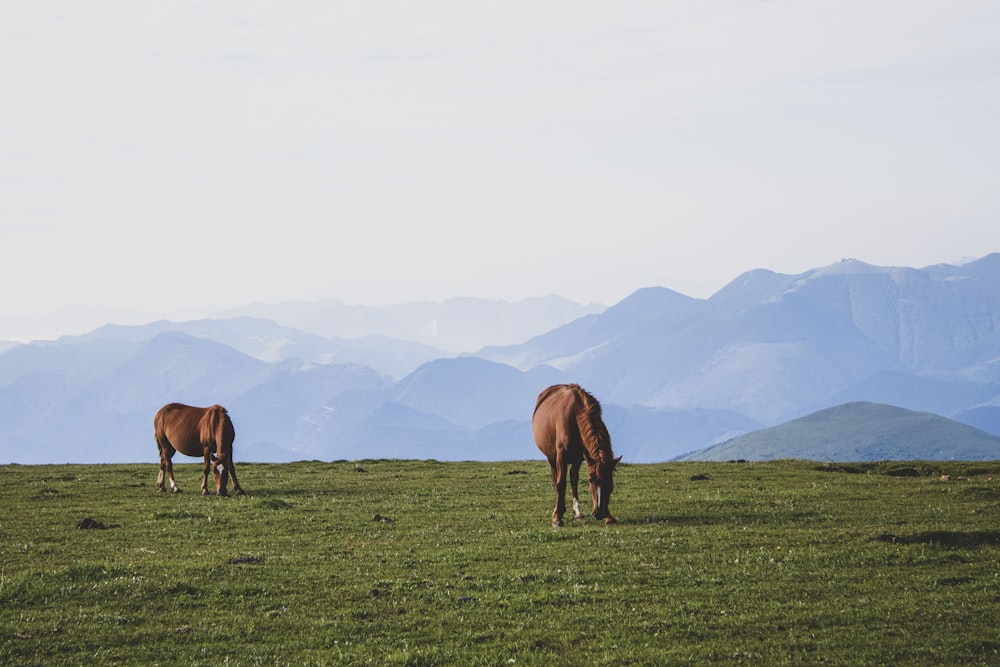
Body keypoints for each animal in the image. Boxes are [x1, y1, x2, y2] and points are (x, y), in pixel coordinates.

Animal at [532, 386, 616, 528]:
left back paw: (577, 512)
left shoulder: (579, 457)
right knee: (556, 480)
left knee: (572, 479)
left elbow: (574, 479)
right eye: (590, 480)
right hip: (551, 457)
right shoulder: (561, 456)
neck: (575, 417)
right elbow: (560, 484)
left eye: (610, 482)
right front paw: (557, 518)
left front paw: (609, 517)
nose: (599, 513)